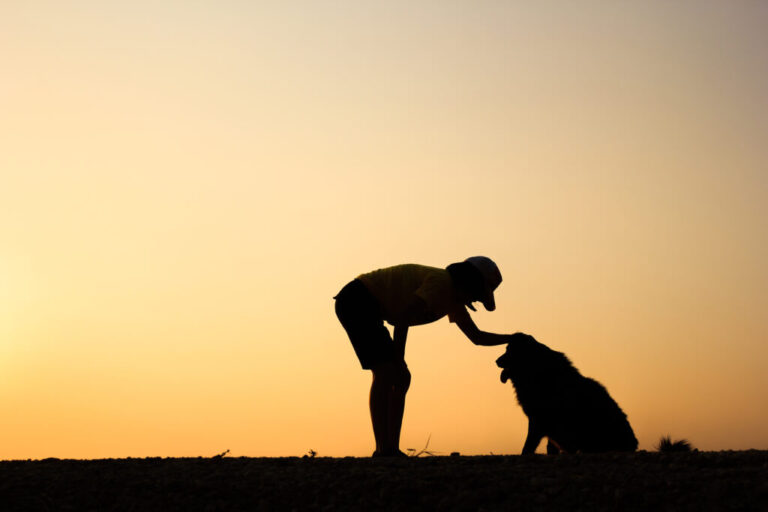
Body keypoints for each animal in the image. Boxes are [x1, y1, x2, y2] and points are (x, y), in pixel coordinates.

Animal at [496, 334, 640, 454]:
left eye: (510, 350)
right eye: (506, 349)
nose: (496, 361)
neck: (538, 371)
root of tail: (633, 444)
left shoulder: (537, 421)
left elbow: (527, 447)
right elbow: (549, 448)